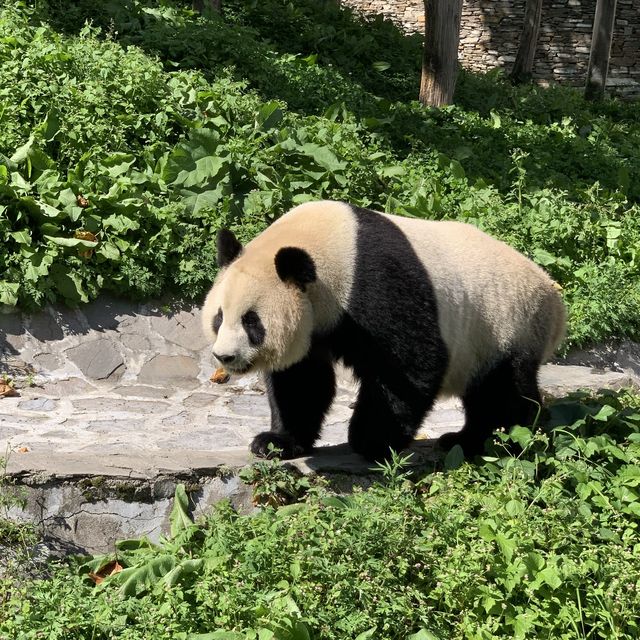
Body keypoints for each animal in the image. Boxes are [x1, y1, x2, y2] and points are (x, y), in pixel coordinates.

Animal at [200, 200, 564, 460]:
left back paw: (503, 441)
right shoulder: (316, 321)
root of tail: (554, 296)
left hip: (506, 324)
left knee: (503, 391)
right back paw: (463, 440)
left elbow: (408, 367)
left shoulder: (375, 283)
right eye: (219, 317)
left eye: (252, 321)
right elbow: (301, 380)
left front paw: (371, 440)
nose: (225, 357)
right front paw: (275, 442)